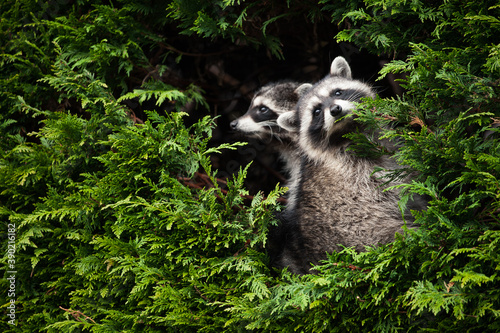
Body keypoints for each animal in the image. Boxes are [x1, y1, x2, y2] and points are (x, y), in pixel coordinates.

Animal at [276, 56, 424, 272]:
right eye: (317, 111)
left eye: (337, 92)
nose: (335, 109)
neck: (350, 132)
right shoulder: (361, 173)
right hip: (362, 233)